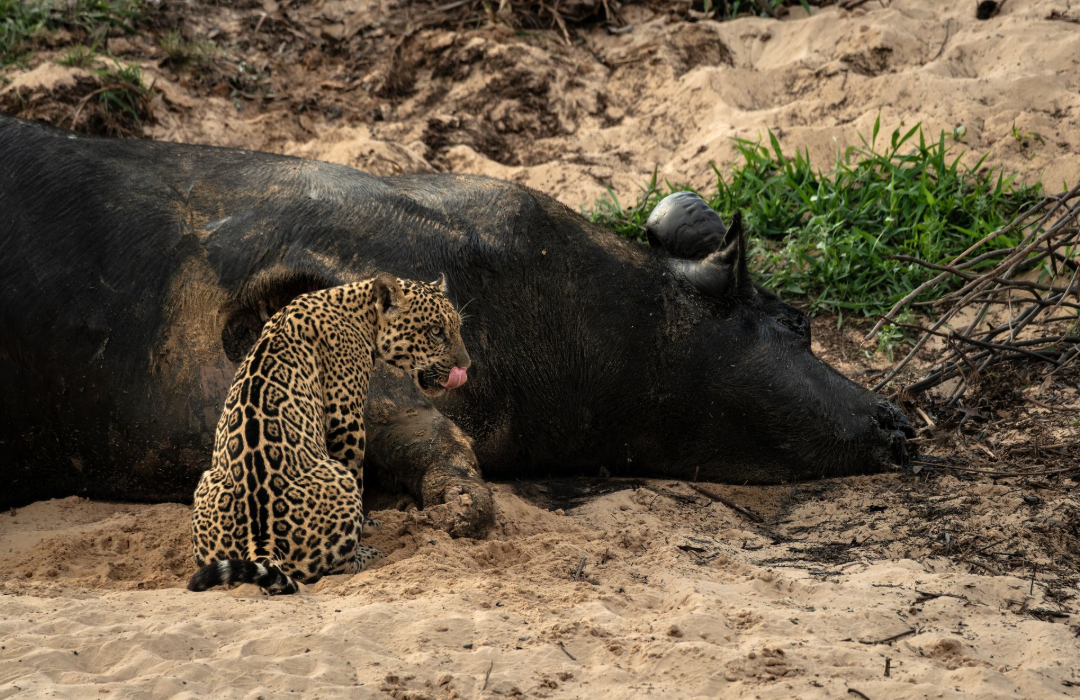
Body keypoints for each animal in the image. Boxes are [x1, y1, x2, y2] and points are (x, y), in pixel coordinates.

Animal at [188, 273, 471, 594]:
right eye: (436, 331)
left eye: (456, 328)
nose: (466, 365)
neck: (360, 311)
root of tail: (263, 544)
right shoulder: (345, 417)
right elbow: (357, 472)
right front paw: (366, 525)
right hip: (337, 477)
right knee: (332, 566)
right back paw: (367, 554)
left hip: (206, 483)